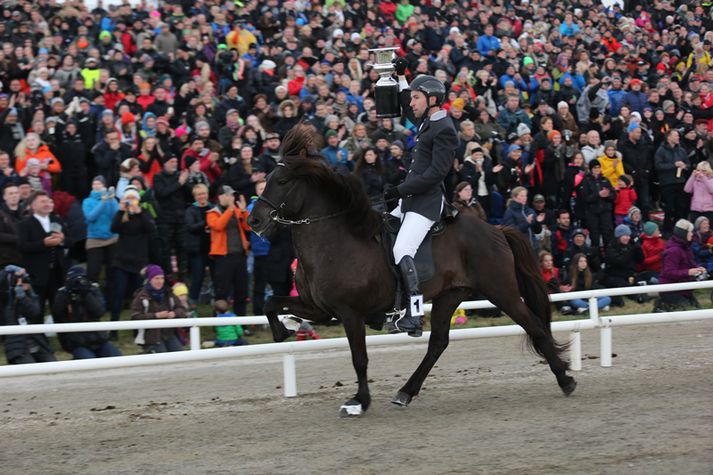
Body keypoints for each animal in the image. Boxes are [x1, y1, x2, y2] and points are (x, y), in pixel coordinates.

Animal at [248, 125, 576, 416]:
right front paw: (283, 330)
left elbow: (359, 358)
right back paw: (406, 392)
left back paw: (566, 380)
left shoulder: (349, 312)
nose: (253, 220)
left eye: (282, 181)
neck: (335, 240)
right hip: (449, 295)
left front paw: (359, 401)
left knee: (534, 326)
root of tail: (495, 230)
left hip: (501, 291)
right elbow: (270, 303)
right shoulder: (318, 307)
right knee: (438, 343)